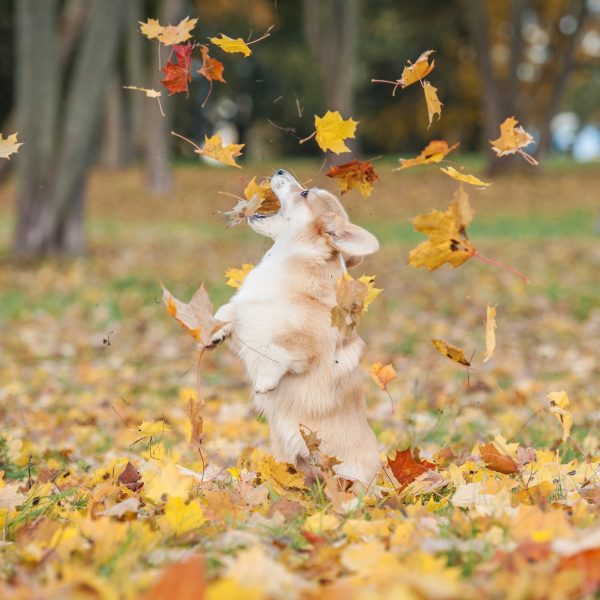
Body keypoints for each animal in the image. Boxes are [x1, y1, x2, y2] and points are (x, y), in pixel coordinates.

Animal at [209, 166, 382, 486]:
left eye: (304, 193)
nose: (280, 170)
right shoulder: (247, 322)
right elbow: (229, 311)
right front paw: (214, 332)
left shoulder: (304, 345)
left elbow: (278, 347)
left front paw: (264, 382)